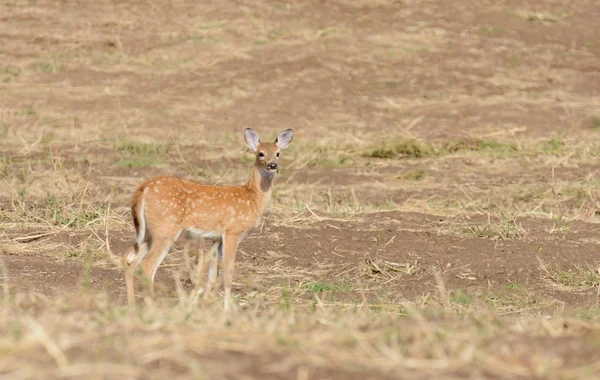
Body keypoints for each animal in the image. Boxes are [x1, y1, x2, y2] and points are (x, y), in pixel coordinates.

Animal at [125, 127, 294, 308]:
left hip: (150, 231)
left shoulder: (217, 239)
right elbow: (228, 273)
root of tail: (144, 188)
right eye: (260, 153)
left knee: (130, 260)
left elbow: (212, 276)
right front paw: (228, 309)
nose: (272, 165)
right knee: (146, 265)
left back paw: (132, 305)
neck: (252, 199)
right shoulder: (232, 231)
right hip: (166, 228)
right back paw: (152, 306)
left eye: (278, 153)